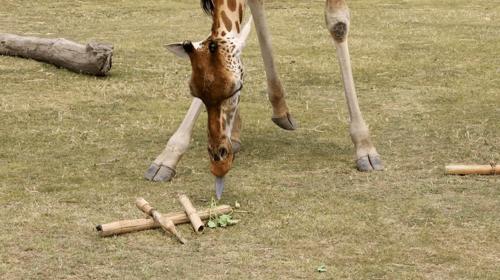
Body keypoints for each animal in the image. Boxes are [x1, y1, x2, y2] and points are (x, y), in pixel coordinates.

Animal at [145, 0, 382, 198]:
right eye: (193, 91)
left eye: (236, 88)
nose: (219, 164)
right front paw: (167, 157)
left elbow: (338, 23)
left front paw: (365, 146)